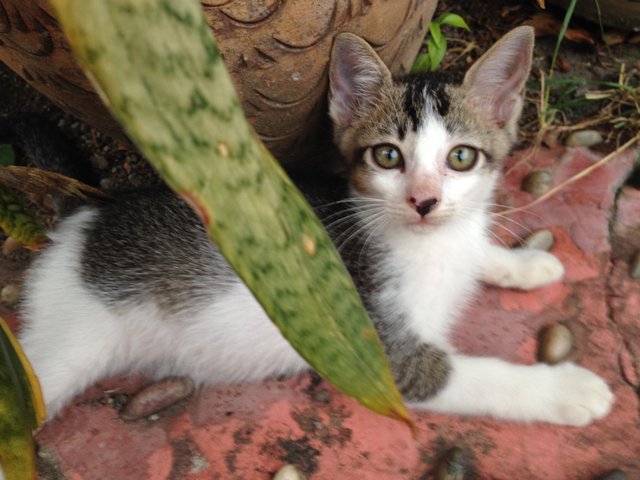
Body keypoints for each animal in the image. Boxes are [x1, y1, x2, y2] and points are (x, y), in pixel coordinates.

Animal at [17, 26, 612, 426]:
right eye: (388, 157)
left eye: (461, 157)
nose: (424, 201)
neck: (426, 244)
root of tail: (85, 214)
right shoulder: (382, 358)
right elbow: (473, 377)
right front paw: (569, 391)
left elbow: (477, 243)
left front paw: (525, 264)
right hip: (66, 340)